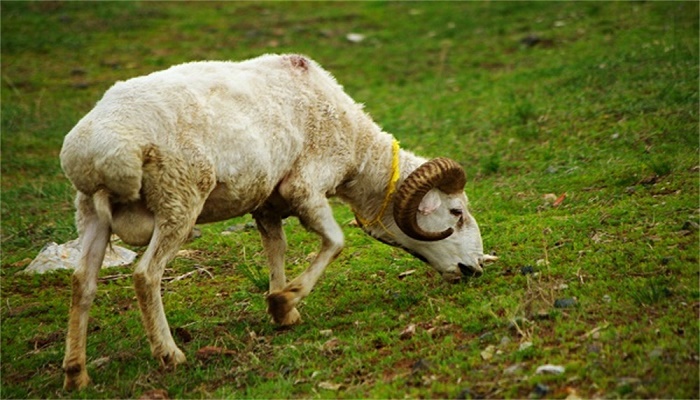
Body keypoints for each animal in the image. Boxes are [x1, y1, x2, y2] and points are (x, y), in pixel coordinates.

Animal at [61, 54, 498, 390]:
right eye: (456, 213)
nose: (474, 268)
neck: (357, 148)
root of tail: (98, 152)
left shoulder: (268, 203)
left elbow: (277, 248)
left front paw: (282, 310)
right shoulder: (306, 186)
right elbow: (335, 242)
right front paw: (285, 300)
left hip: (90, 213)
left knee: (82, 284)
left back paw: (76, 373)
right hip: (178, 198)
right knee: (145, 275)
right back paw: (169, 353)